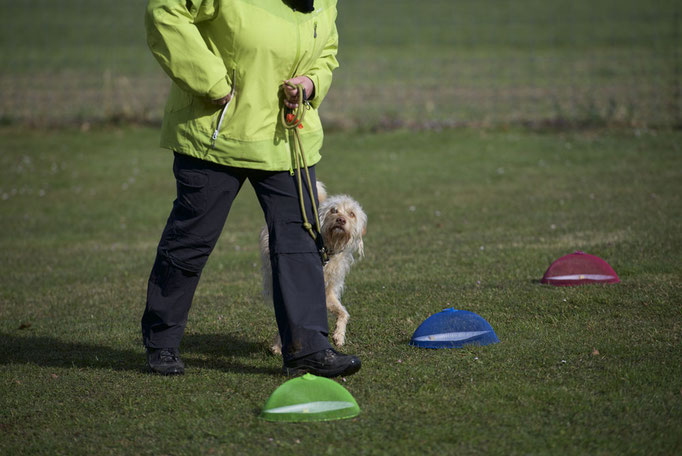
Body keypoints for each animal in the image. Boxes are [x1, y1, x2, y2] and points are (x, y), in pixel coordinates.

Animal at [258, 183, 366, 356]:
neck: (326, 249)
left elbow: (343, 313)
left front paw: (339, 335)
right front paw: (278, 345)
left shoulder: (328, 293)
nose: (341, 220)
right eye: (334, 210)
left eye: (351, 214)